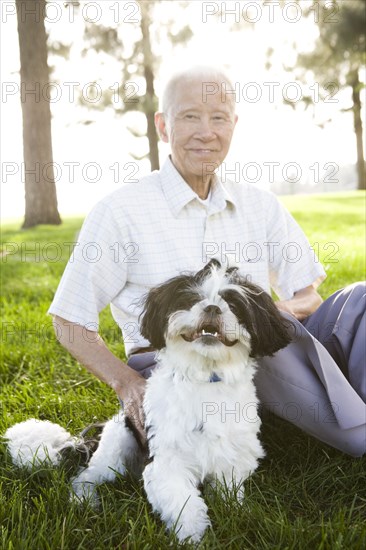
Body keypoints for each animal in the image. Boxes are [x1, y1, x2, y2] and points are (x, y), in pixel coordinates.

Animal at [3, 262, 292, 544]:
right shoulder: (167, 462)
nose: (212, 307)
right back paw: (84, 500)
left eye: (233, 304)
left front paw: (236, 511)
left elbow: (228, 490)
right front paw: (192, 536)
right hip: (117, 447)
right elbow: (184, 503)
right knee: (85, 476)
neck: (204, 378)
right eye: (192, 299)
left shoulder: (231, 454)